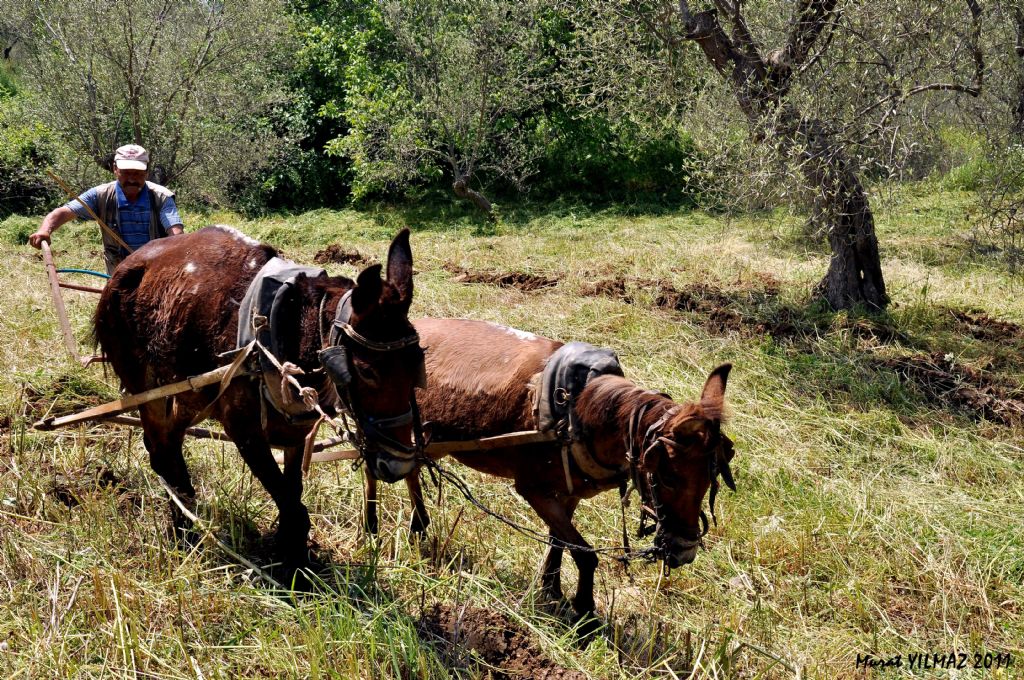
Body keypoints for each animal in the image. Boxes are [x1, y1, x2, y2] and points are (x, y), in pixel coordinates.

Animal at [96, 225, 423, 565]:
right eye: (367, 372)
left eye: (419, 362)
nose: (399, 465)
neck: (291, 330)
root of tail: (126, 267)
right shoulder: (244, 432)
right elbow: (292, 505)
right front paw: (292, 564)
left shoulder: (296, 433)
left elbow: (292, 493)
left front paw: (292, 551)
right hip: (147, 390)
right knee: (160, 448)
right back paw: (182, 528)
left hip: (189, 393)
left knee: (169, 443)